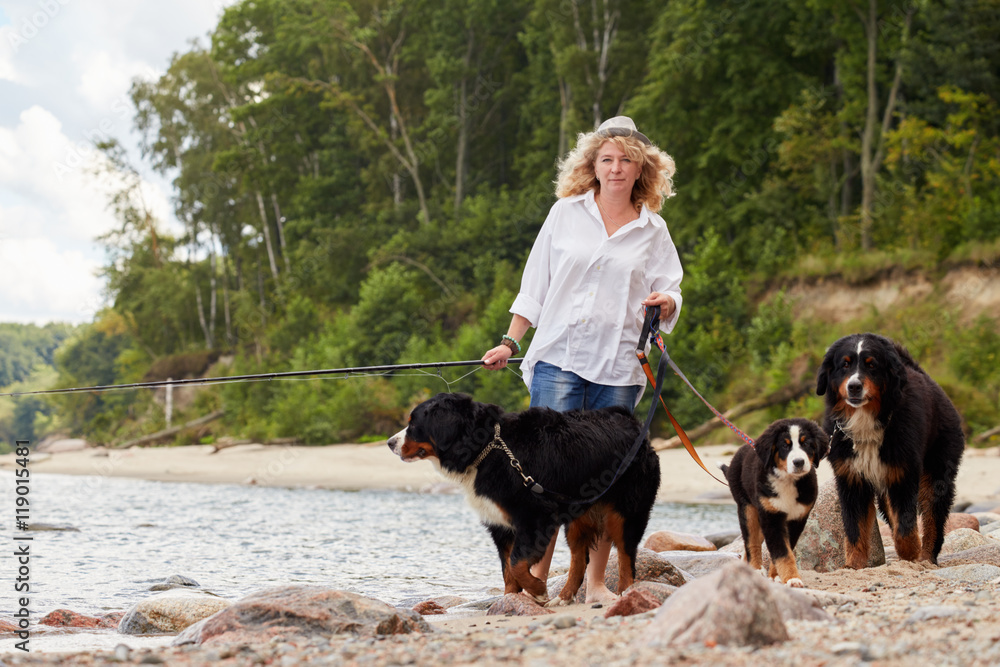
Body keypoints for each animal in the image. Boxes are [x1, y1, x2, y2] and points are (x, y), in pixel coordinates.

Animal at [386, 394, 660, 608]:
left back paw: (626, 594)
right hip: (579, 516)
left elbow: (517, 563)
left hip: (626, 512)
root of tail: (633, 424)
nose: (389, 443)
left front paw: (538, 590)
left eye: (414, 424)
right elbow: (508, 570)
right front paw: (511, 599)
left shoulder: (534, 517)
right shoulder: (500, 524)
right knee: (579, 558)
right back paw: (564, 597)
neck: (487, 448)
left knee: (625, 554)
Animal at [724, 420, 824, 588]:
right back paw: (756, 569)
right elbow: (782, 551)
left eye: (806, 444)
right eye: (785, 445)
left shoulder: (797, 518)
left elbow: (786, 547)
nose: (798, 462)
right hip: (747, 507)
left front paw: (777, 575)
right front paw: (792, 578)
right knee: (752, 541)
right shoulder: (771, 516)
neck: (788, 480)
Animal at [812, 334, 968, 568]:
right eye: (845, 364)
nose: (854, 386)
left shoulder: (902, 475)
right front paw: (854, 565)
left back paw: (926, 558)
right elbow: (854, 529)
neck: (865, 422)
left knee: (933, 520)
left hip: (936, 475)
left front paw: (911, 556)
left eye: (872, 365)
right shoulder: (852, 479)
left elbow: (905, 527)